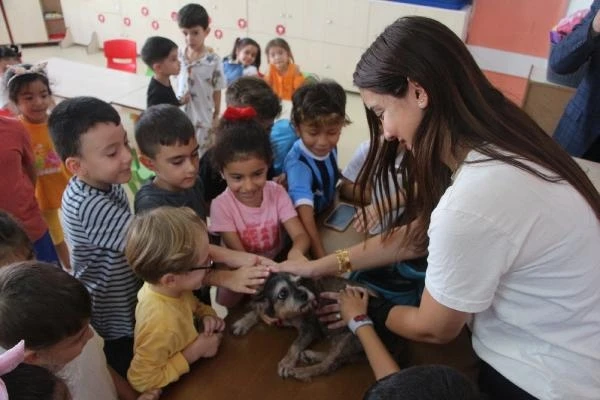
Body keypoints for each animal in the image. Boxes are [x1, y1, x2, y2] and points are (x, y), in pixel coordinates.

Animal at [232, 272, 368, 382]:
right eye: (282, 293)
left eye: (299, 282)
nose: (305, 294)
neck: (287, 314)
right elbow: (257, 310)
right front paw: (242, 323)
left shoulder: (310, 329)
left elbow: (295, 345)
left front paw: (287, 362)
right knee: (337, 359)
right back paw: (311, 356)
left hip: (348, 337)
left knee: (327, 365)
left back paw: (301, 371)